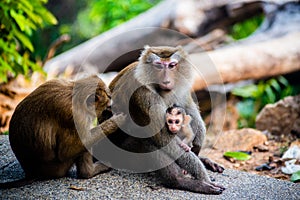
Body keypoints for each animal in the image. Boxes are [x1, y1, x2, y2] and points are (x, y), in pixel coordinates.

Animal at [106, 45, 224, 194]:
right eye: (159, 66)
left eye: (172, 65)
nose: (166, 80)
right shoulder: (145, 95)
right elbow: (166, 141)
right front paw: (204, 179)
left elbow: (189, 111)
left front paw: (197, 145)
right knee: (149, 140)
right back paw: (179, 181)